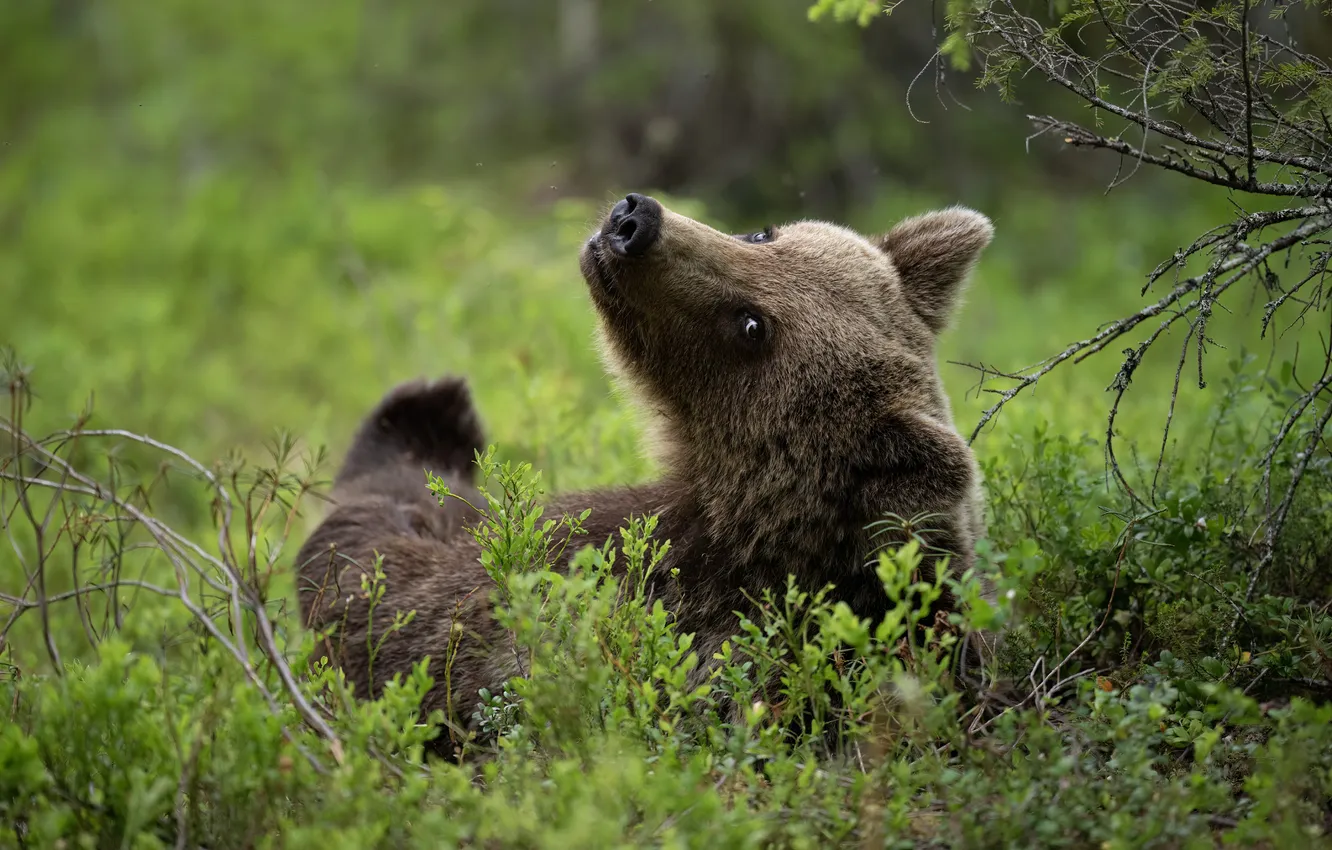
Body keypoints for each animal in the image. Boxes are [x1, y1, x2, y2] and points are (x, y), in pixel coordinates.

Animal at [295, 192, 995, 754]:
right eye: (762, 234)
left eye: (752, 325)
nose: (634, 221)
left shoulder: (649, 601)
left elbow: (388, 587)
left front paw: (424, 420)